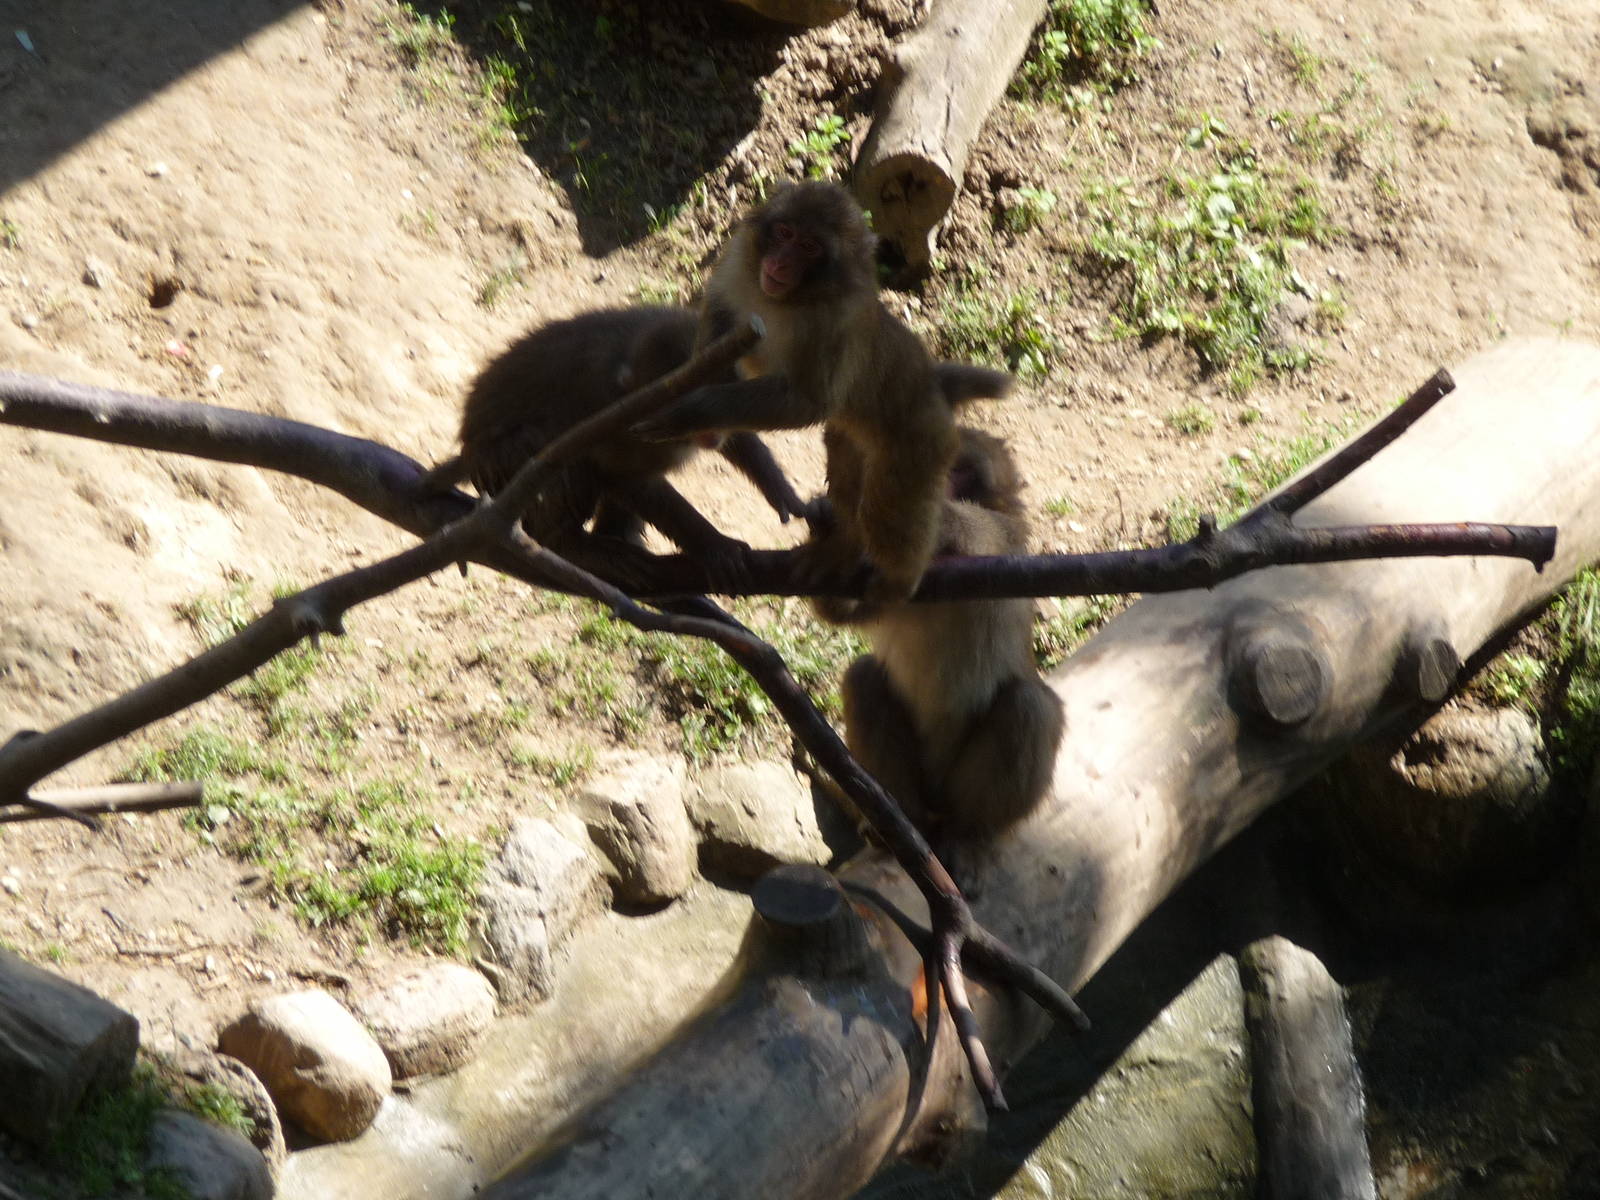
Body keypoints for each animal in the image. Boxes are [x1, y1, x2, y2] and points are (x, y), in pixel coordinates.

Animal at [423, 305, 813, 576]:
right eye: (677, 401)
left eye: (709, 397)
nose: (697, 423)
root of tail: (468, 448)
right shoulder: (614, 419)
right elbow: (623, 477)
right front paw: (716, 545)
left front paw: (781, 491)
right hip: (497, 463)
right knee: (558, 458)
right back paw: (568, 544)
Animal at [632, 180, 986, 605]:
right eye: (785, 233)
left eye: (810, 247)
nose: (781, 263)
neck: (791, 298)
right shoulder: (737, 264)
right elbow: (718, 332)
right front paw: (701, 418)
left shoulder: (834, 322)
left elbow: (807, 402)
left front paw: (693, 412)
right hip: (857, 441)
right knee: (847, 471)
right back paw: (846, 546)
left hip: (919, 444)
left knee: (891, 504)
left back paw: (901, 579)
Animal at [814, 427, 1064, 846]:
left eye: (959, 470)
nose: (931, 491)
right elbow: (841, 610)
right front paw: (828, 531)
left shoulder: (1007, 533)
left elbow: (982, 534)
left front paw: (928, 521)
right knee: (863, 679)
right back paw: (904, 820)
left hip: (957, 786)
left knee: (1028, 706)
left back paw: (969, 831)